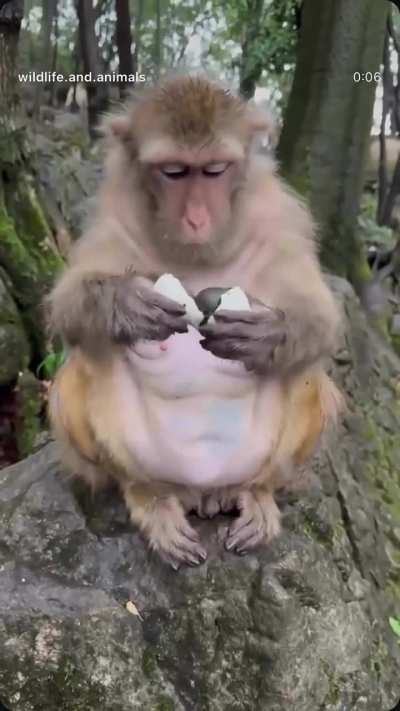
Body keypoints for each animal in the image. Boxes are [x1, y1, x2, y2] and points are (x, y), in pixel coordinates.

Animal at [48, 74, 343, 569]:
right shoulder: (113, 214)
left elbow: (321, 319)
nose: (197, 218)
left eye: (214, 170)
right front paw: (125, 304)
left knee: (305, 376)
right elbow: (67, 306)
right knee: (80, 373)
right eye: (174, 172)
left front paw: (267, 335)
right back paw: (149, 499)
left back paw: (257, 493)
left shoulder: (279, 216)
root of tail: (201, 491)